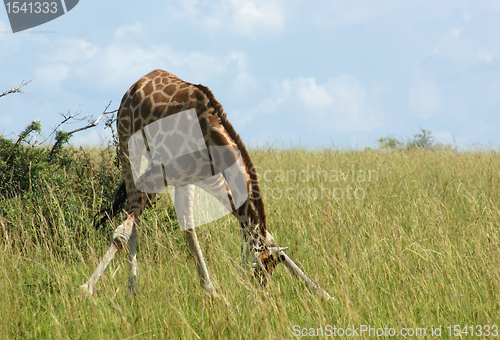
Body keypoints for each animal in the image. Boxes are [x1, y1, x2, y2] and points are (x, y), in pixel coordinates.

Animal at [83, 69, 332, 298]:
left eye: (271, 268)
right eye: (259, 270)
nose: (260, 293)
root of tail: (138, 82)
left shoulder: (209, 178)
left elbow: (265, 235)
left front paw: (322, 291)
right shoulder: (161, 172)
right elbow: (123, 232)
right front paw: (86, 288)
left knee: (178, 222)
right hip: (129, 147)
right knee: (132, 217)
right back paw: (132, 287)